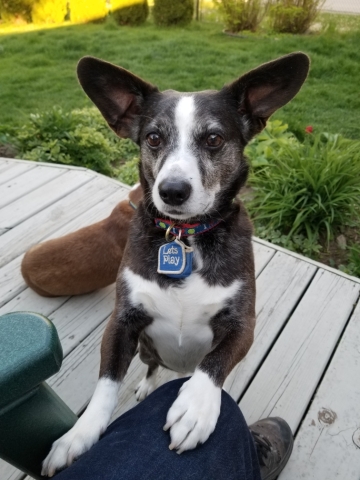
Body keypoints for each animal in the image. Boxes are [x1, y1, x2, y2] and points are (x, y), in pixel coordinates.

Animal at [40, 51, 308, 476]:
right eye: (153, 138)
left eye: (214, 139)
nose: (172, 191)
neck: (185, 236)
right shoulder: (122, 321)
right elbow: (106, 383)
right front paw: (77, 437)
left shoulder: (242, 325)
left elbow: (215, 361)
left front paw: (196, 408)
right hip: (147, 349)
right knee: (151, 366)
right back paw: (149, 385)